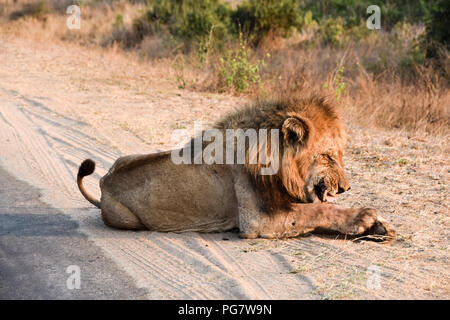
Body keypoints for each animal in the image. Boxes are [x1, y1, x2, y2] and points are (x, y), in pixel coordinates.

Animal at [76, 94, 394, 240]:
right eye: (328, 156)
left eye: (340, 154)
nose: (346, 187)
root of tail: (103, 182)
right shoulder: (256, 220)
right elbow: (316, 211)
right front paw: (364, 218)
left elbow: (317, 208)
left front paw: (379, 226)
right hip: (125, 219)